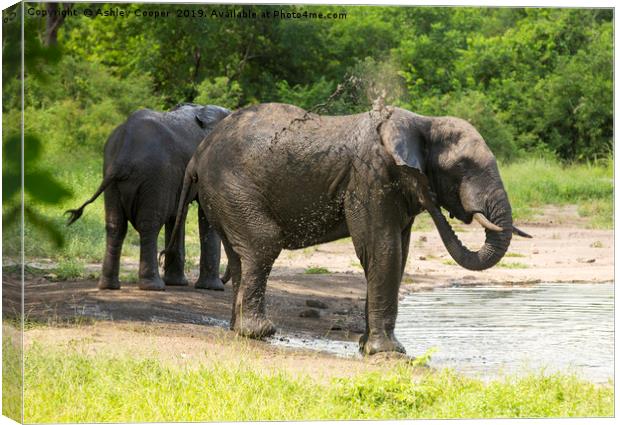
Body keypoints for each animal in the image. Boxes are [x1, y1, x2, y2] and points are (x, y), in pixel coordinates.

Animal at [66, 102, 230, 292]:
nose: (224, 280)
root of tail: (124, 152)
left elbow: (178, 215)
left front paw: (179, 283)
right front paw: (212, 288)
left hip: (112, 175)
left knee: (116, 226)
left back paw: (109, 286)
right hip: (155, 176)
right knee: (149, 225)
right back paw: (153, 286)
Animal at [162, 101, 532, 352]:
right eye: (462, 167)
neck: (422, 122)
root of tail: (198, 154)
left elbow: (398, 254)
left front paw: (370, 348)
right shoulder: (371, 177)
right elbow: (383, 250)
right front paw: (389, 353)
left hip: (224, 197)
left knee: (242, 256)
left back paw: (239, 329)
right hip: (232, 188)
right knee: (263, 245)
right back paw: (260, 332)